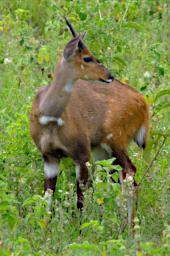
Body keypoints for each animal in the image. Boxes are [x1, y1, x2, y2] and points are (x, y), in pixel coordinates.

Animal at [30, 18, 149, 214]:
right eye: (86, 57)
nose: (109, 75)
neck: (50, 118)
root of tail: (143, 103)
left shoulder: (82, 155)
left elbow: (80, 201)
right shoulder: (49, 157)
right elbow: (47, 200)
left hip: (115, 143)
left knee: (130, 174)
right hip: (104, 151)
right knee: (122, 177)